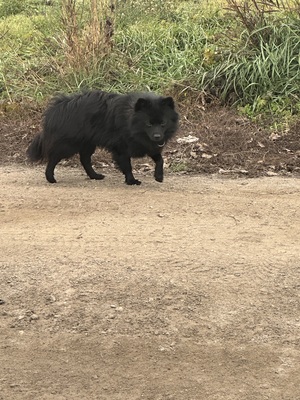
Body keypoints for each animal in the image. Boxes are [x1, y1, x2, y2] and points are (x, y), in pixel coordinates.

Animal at [27, 90, 178, 184]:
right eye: (149, 124)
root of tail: (58, 107)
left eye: (163, 123)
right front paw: (131, 181)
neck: (131, 121)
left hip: (87, 143)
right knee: (53, 158)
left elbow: (160, 159)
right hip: (69, 144)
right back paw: (50, 178)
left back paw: (94, 176)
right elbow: (127, 166)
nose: (157, 136)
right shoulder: (121, 149)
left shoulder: (148, 145)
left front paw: (159, 176)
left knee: (84, 160)